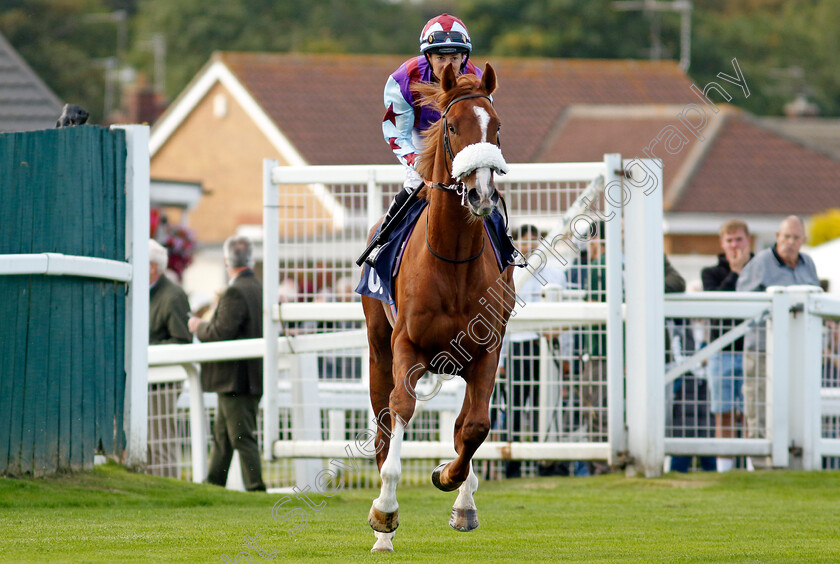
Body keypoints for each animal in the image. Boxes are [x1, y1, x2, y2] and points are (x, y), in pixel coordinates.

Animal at [360, 64, 512, 552]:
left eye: (495, 127)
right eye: (451, 126)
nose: (481, 193)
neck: (452, 260)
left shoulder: (487, 349)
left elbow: (474, 426)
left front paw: (452, 481)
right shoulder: (406, 346)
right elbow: (401, 410)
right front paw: (385, 513)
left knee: (464, 422)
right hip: (378, 348)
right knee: (383, 422)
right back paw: (382, 532)